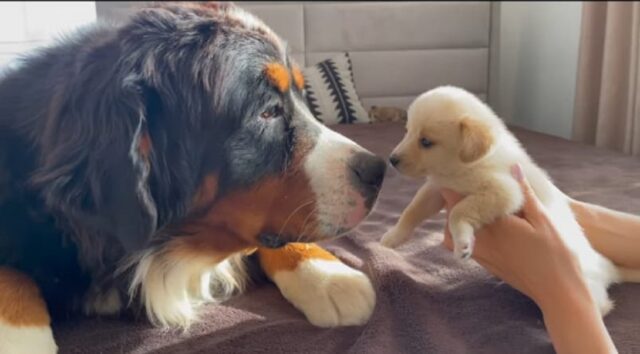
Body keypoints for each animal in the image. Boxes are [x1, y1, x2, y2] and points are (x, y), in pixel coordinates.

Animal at [0, 3, 384, 354]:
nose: (378, 170)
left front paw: (331, 276)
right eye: (268, 111)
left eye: (303, 101)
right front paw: (20, 337)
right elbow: (11, 275)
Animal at [382, 85, 636, 316]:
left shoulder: (505, 191)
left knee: (600, 306)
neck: (461, 167)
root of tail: (607, 268)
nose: (391, 160)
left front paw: (462, 241)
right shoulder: (436, 189)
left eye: (426, 142)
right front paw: (392, 237)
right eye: (407, 131)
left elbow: (458, 212)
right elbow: (411, 211)